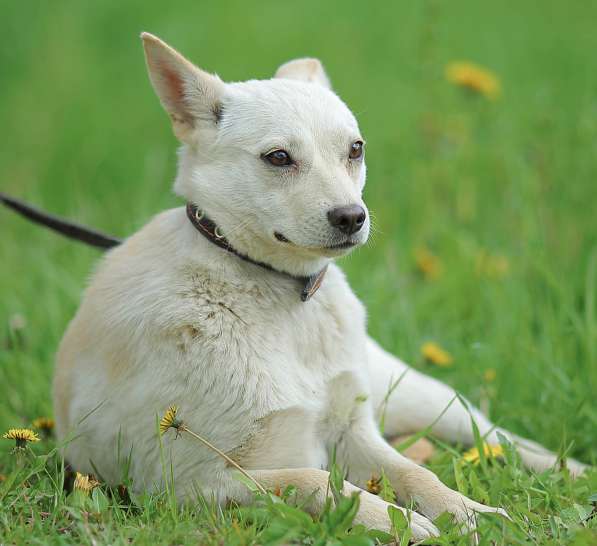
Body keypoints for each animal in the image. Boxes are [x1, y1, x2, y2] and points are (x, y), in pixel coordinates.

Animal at [52, 34, 588, 540]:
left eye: (355, 149)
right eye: (278, 157)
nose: (352, 217)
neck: (281, 297)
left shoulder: (353, 432)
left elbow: (417, 474)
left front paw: (469, 512)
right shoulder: (187, 483)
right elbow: (316, 482)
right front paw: (400, 521)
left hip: (418, 393)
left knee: (496, 435)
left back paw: (571, 471)